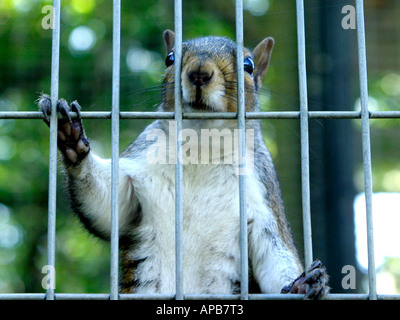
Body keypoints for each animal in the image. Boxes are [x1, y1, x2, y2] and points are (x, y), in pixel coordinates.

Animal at [38, 28, 328, 298]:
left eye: (248, 65)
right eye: (169, 58)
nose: (199, 72)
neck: (202, 146)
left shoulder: (263, 195)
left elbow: (275, 255)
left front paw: (304, 284)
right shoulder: (139, 167)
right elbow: (107, 207)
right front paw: (71, 134)